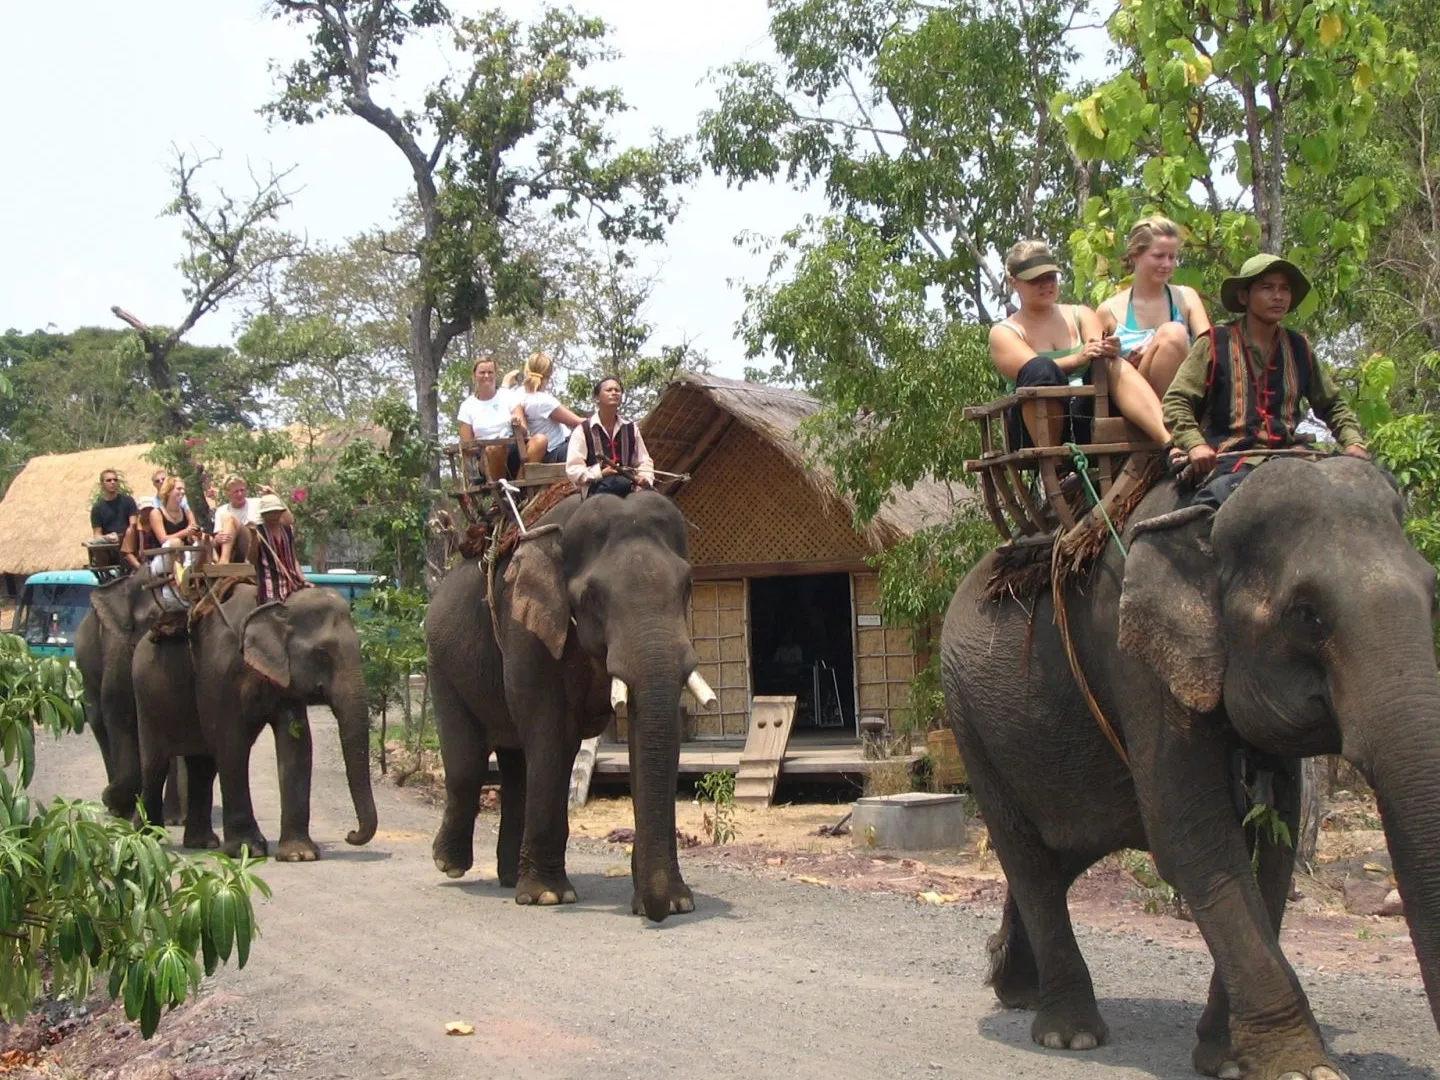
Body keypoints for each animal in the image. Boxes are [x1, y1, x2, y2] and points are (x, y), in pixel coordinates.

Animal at [131, 584, 377, 864]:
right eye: (322, 653)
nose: (350, 834)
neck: (275, 604)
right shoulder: (220, 672)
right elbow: (231, 743)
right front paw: (247, 850)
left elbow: (298, 745)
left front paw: (298, 854)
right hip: (145, 696)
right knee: (155, 764)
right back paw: (145, 837)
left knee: (202, 765)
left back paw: (201, 842)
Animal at [426, 489, 720, 921]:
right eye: (592, 595)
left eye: (686, 585)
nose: (656, 911)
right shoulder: (526, 627)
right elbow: (552, 735)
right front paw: (549, 896)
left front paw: (678, 901)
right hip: (441, 664)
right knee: (469, 765)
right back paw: (450, 864)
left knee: (516, 765)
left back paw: (510, 877)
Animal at [944, 457, 1440, 1080]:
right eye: (1306, 615)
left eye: (1433, 594)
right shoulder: (1138, 662)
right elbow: (1193, 839)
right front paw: (1301, 1068)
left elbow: (1272, 849)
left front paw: (1228, 1058)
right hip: (970, 724)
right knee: (1027, 855)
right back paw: (1068, 1033)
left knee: (1060, 856)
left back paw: (1014, 988)